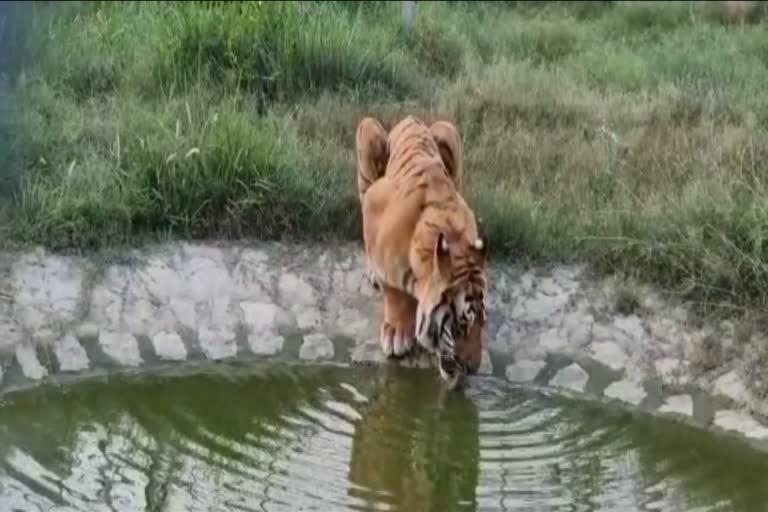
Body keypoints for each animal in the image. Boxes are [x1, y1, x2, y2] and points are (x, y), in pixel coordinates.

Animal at [352, 115, 486, 388]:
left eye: (482, 324)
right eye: (461, 326)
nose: (474, 369)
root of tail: (410, 118)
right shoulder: (374, 203)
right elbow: (392, 290)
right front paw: (397, 333)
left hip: (448, 132)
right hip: (367, 133)